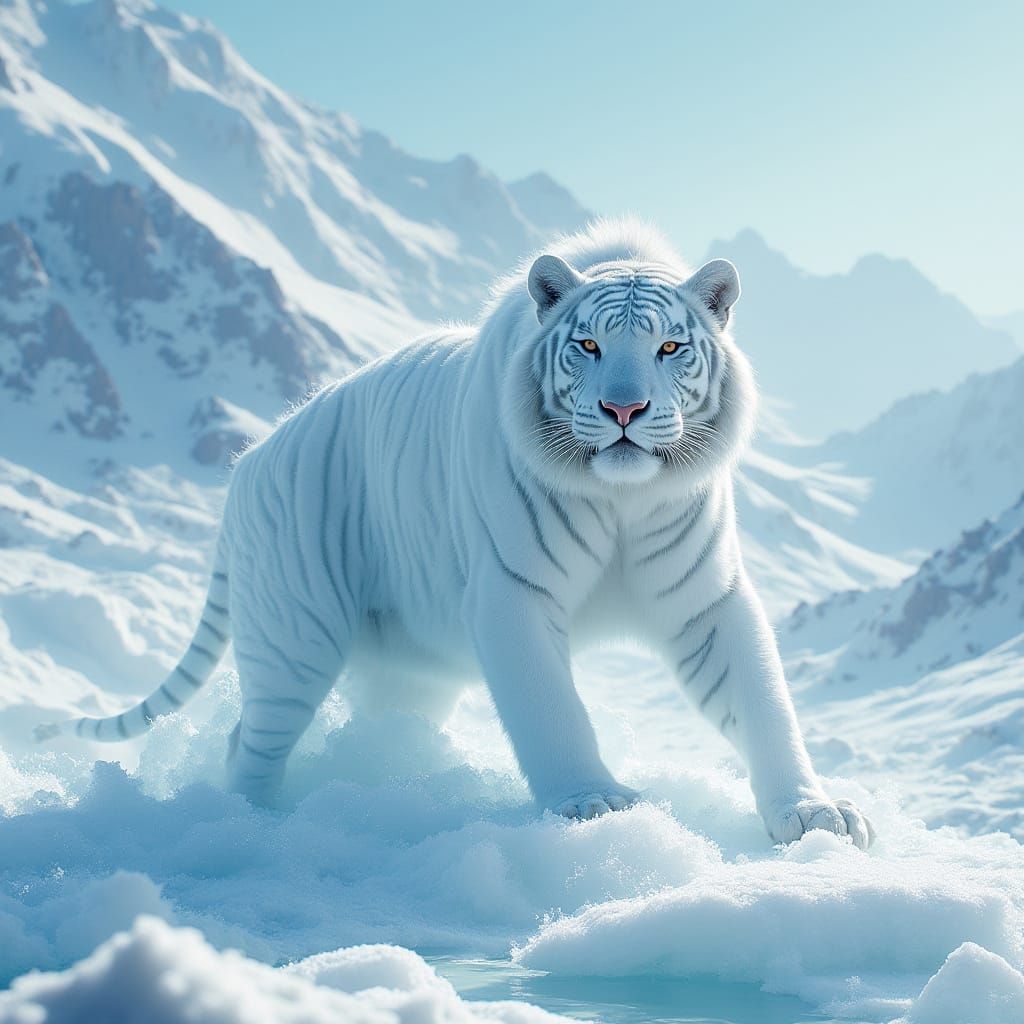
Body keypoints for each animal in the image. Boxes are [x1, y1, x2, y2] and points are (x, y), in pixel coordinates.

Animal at [38, 219, 872, 849]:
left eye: (670, 347)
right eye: (590, 347)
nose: (624, 411)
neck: (620, 503)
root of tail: (249, 459)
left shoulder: (704, 599)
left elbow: (760, 699)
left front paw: (814, 813)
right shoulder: (512, 592)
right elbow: (550, 705)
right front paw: (594, 803)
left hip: (407, 671)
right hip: (292, 631)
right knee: (251, 737)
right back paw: (254, 822)